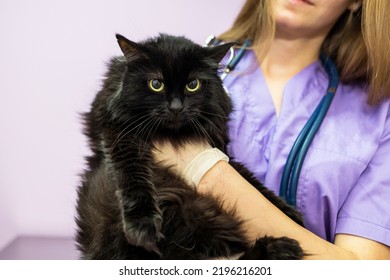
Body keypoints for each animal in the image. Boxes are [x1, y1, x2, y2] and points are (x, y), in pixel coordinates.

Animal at [75, 33, 304, 260]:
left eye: (192, 84)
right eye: (156, 84)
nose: (176, 107)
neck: (174, 135)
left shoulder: (218, 145)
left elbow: (250, 179)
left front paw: (289, 212)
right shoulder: (121, 137)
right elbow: (135, 179)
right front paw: (142, 225)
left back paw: (281, 247)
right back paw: (279, 248)